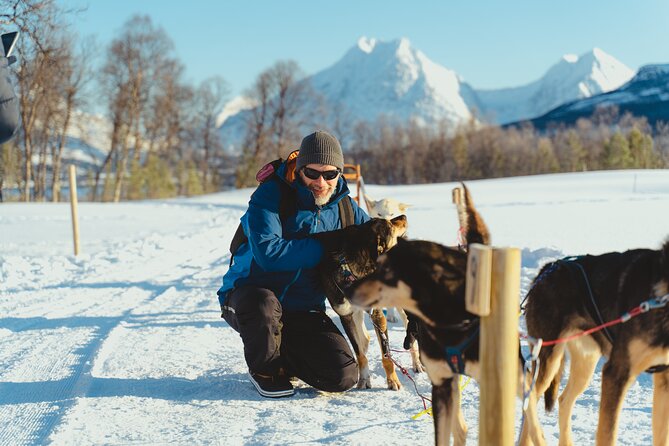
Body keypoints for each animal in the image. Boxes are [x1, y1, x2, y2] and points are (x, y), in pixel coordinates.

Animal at [520, 244, 668, 446]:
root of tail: (547, 268)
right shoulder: (616, 373)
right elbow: (608, 434)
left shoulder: (664, 380)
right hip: (548, 361)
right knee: (530, 405)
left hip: (585, 365)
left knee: (563, 400)